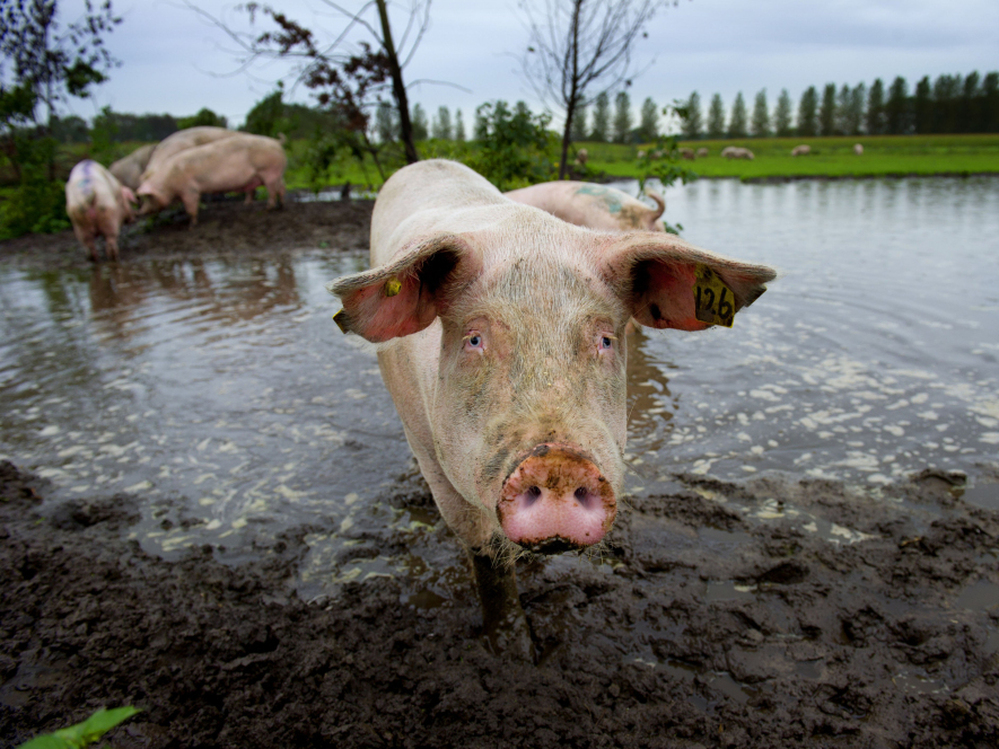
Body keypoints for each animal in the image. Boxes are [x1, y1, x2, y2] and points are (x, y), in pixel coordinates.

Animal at [135, 133, 286, 226]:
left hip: (269, 171)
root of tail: (275, 142)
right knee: (281, 187)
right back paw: (281, 206)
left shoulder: (189, 189)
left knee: (272, 191)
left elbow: (191, 207)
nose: (141, 211)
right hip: (275, 173)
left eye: (148, 197)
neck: (167, 181)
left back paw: (268, 209)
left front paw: (192, 224)